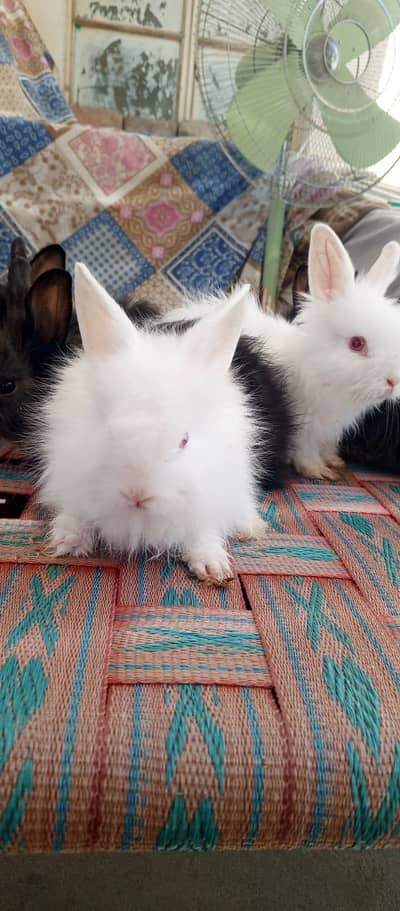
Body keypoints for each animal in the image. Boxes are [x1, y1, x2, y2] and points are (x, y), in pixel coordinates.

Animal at [33, 263, 295, 585]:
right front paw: (66, 540)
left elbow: (203, 531)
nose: (137, 494)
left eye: (184, 440)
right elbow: (76, 512)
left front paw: (213, 566)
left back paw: (251, 527)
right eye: (108, 431)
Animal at [160, 224, 400, 480]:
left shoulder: (330, 431)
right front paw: (319, 471)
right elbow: (305, 451)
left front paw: (334, 461)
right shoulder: (305, 427)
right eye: (357, 343)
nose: (394, 381)